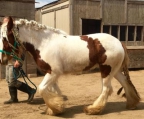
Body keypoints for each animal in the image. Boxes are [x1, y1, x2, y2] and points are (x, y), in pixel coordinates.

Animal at [0, 16, 140, 115]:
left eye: (4, 38)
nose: (3, 60)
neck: (44, 43)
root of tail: (119, 42)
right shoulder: (51, 74)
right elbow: (54, 91)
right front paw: (57, 107)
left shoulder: (53, 73)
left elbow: (41, 89)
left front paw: (56, 108)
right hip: (114, 70)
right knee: (125, 82)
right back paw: (132, 104)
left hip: (106, 70)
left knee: (106, 89)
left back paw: (92, 109)